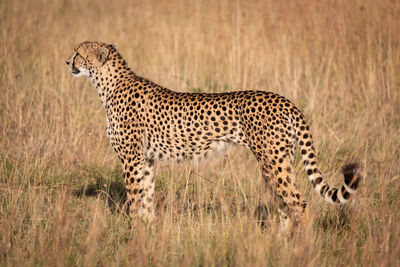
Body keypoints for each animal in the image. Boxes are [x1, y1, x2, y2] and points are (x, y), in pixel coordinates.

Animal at [66, 41, 362, 224]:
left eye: (78, 52)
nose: (67, 61)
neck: (107, 85)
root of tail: (283, 99)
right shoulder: (146, 160)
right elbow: (146, 198)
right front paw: (147, 230)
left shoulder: (131, 160)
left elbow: (135, 198)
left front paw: (133, 232)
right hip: (277, 163)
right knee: (285, 204)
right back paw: (279, 244)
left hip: (273, 161)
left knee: (299, 204)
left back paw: (302, 248)